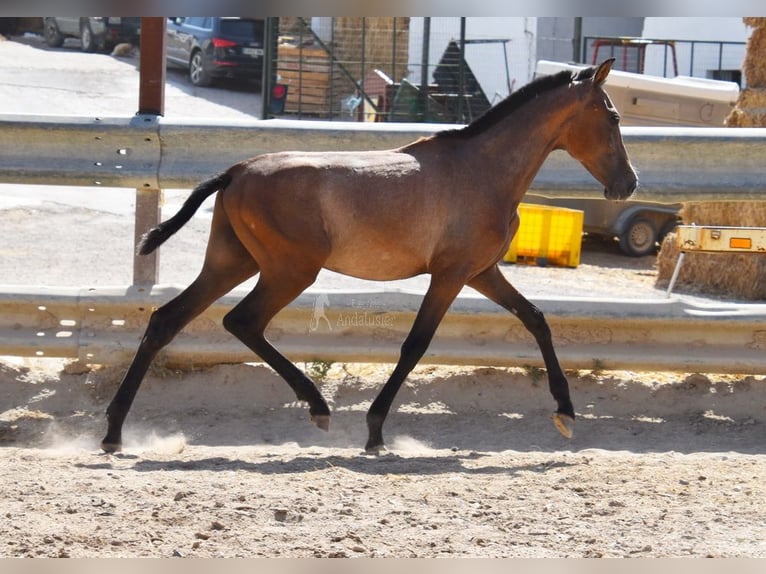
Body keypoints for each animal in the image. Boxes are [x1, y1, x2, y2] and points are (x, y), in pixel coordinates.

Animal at [103, 58, 640, 454]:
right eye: (613, 118)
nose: (628, 184)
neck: (482, 170)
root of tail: (236, 171)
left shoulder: (482, 272)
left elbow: (537, 319)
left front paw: (566, 413)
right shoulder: (450, 275)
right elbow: (415, 345)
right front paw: (376, 431)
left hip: (232, 263)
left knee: (166, 320)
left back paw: (113, 431)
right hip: (287, 271)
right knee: (242, 322)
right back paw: (317, 408)